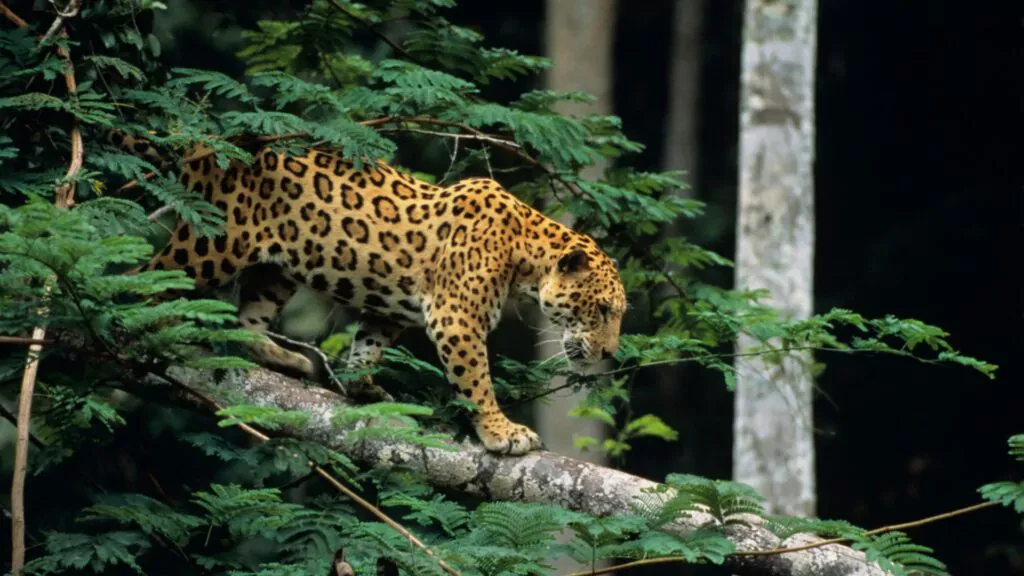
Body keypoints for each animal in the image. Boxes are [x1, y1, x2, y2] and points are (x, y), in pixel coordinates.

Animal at [115, 132, 627, 455]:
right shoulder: (457, 320)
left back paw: (287, 358)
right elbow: (477, 382)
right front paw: (502, 432)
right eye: (603, 310)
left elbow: (369, 345)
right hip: (214, 244)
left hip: (277, 270)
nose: (609, 354)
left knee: (248, 320)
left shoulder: (394, 312)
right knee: (146, 276)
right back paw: (149, 320)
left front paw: (360, 385)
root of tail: (205, 147)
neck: (525, 253)